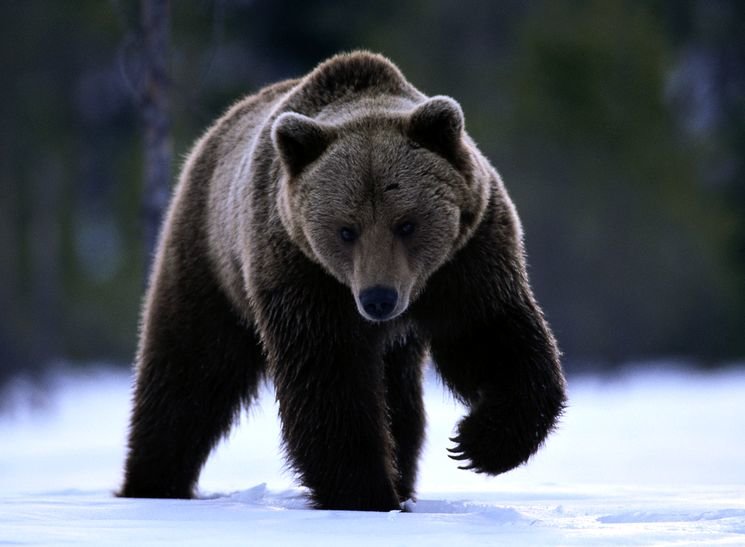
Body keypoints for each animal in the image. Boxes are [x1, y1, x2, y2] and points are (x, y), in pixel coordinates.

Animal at [119, 51, 567, 511]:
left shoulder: (467, 257)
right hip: (210, 260)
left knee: (401, 401)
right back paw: (153, 482)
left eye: (406, 223)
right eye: (346, 230)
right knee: (190, 371)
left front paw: (478, 442)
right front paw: (365, 493)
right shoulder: (301, 271)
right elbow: (329, 378)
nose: (378, 298)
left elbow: (491, 336)